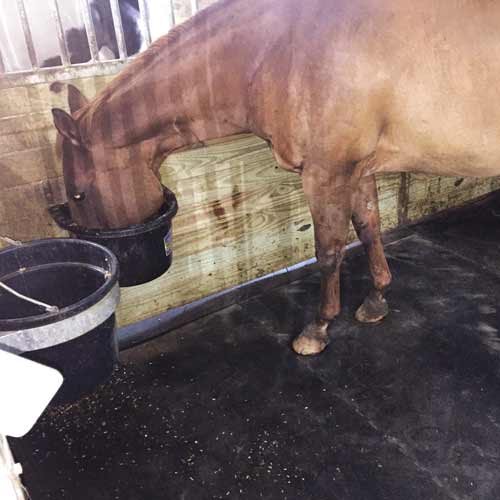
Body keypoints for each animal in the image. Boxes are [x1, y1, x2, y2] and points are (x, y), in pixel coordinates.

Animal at [51, 0, 500, 358]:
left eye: (79, 194)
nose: (120, 275)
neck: (278, 48)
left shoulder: (325, 174)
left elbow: (329, 252)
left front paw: (317, 329)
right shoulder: (356, 170)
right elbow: (368, 228)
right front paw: (376, 300)